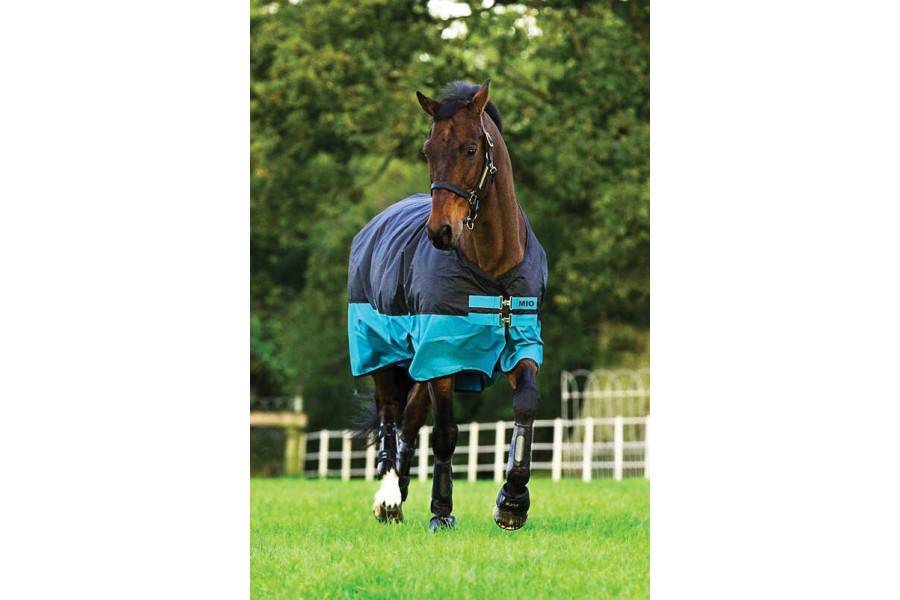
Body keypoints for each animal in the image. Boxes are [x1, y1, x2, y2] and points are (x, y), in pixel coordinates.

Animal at [347, 80, 547, 531]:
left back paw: (401, 492)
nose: (440, 231)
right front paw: (441, 512)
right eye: (428, 149)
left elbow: (526, 405)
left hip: (417, 366)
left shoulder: (522, 343)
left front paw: (512, 502)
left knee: (409, 421)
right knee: (390, 416)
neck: (493, 267)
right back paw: (389, 497)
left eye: (471, 149)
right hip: (382, 353)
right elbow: (445, 434)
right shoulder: (443, 356)